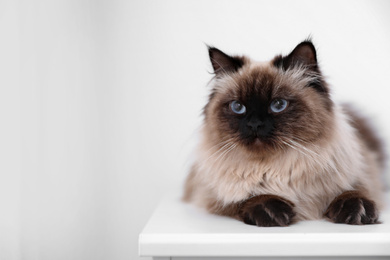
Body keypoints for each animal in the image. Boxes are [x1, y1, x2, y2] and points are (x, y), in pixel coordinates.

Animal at [184, 40, 386, 225]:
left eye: (278, 105)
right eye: (238, 107)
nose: (254, 124)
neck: (276, 168)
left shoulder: (360, 176)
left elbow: (354, 191)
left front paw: (358, 211)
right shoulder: (211, 194)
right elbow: (242, 199)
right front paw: (273, 212)